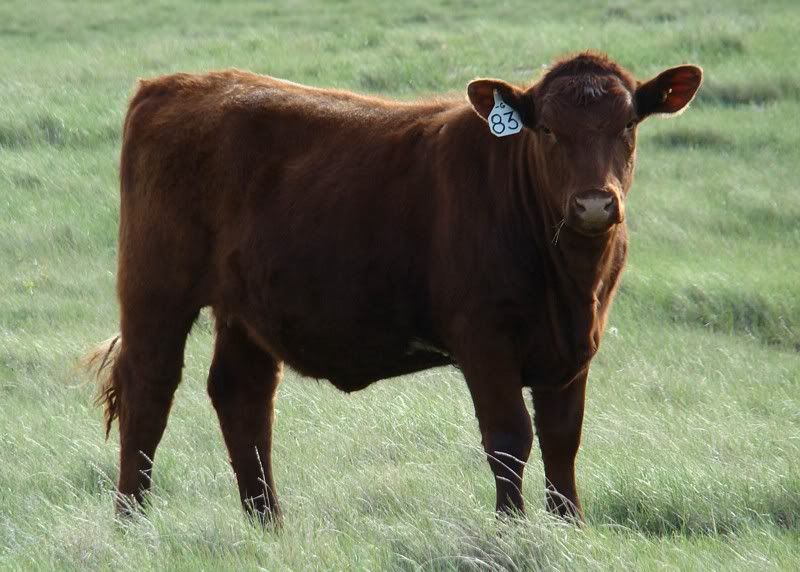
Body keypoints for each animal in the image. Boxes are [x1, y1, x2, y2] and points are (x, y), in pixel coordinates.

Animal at [85, 52, 702, 524]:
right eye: (548, 129)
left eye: (628, 125)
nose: (594, 204)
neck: (569, 281)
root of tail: (175, 84)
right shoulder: (484, 339)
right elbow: (508, 439)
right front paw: (511, 531)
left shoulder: (573, 348)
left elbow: (562, 441)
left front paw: (569, 527)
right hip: (156, 288)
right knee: (149, 391)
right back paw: (131, 524)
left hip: (244, 308)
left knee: (243, 397)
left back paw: (269, 526)